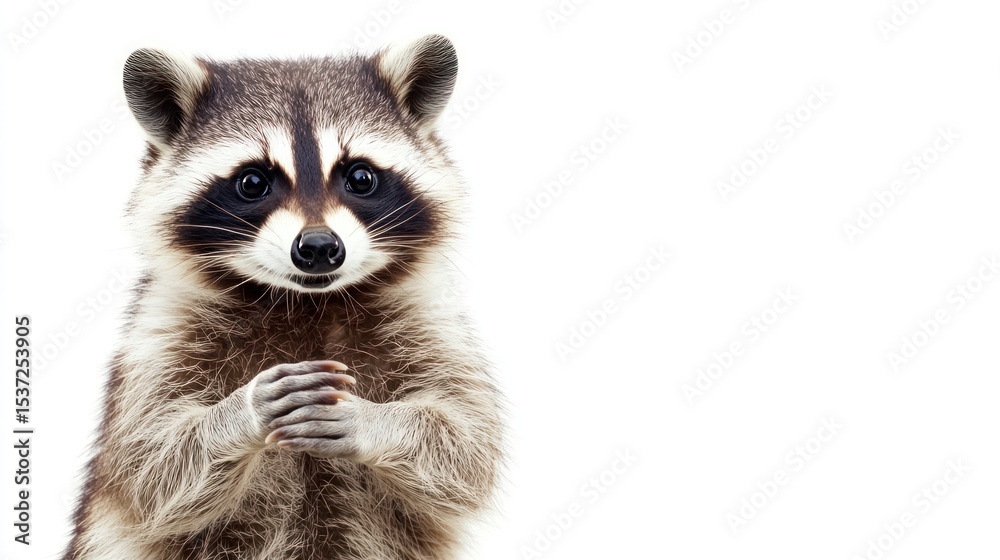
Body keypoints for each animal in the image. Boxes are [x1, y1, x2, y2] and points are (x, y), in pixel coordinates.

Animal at [63, 35, 504, 560]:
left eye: (360, 177)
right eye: (253, 182)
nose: (318, 248)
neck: (306, 302)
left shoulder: (427, 315)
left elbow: (467, 444)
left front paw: (371, 420)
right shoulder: (162, 328)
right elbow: (151, 462)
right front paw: (245, 411)